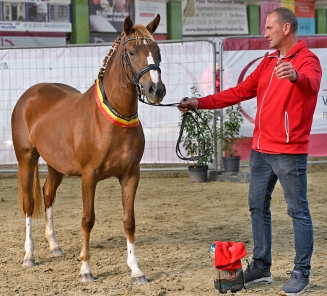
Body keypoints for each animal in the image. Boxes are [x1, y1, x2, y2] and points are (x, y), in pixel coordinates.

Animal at [11, 14, 165, 284]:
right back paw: (29, 256)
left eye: (157, 52)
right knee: (29, 203)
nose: (156, 90)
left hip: (56, 164)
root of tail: (30, 95)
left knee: (48, 194)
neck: (110, 120)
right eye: (132, 52)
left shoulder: (130, 176)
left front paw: (136, 270)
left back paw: (54, 247)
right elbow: (87, 219)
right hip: (26, 158)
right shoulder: (89, 176)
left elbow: (129, 221)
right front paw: (85, 269)